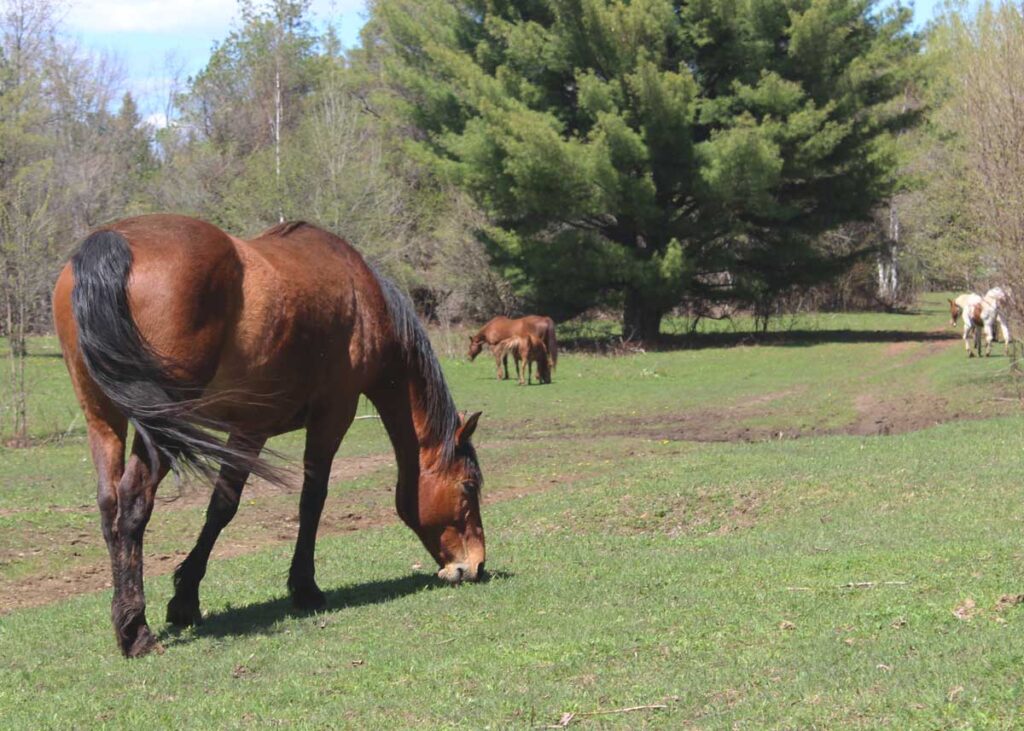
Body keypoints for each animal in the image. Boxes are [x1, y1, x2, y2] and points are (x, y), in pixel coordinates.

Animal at [52, 213, 487, 659]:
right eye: (469, 486)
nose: (475, 565)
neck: (366, 301)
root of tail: (114, 240)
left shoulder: (249, 428)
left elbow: (222, 508)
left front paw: (186, 599)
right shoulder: (330, 416)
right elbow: (306, 501)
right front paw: (304, 588)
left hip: (104, 420)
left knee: (109, 505)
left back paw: (125, 619)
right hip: (161, 427)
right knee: (134, 502)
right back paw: (136, 630)